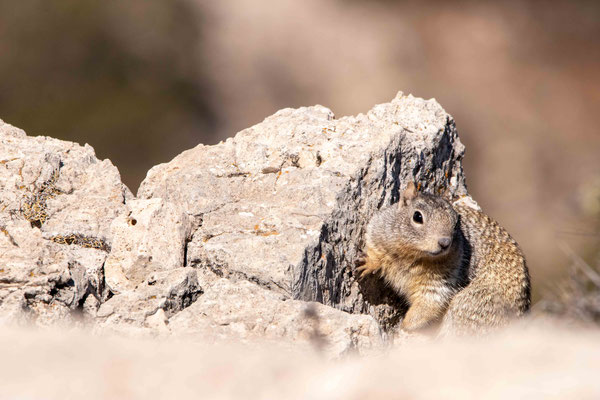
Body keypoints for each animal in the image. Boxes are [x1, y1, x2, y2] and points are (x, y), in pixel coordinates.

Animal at [356, 181, 528, 334]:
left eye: (456, 224)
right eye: (417, 216)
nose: (445, 243)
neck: (412, 255)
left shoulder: (441, 280)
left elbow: (429, 302)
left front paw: (405, 324)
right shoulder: (378, 230)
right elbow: (375, 248)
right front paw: (366, 263)